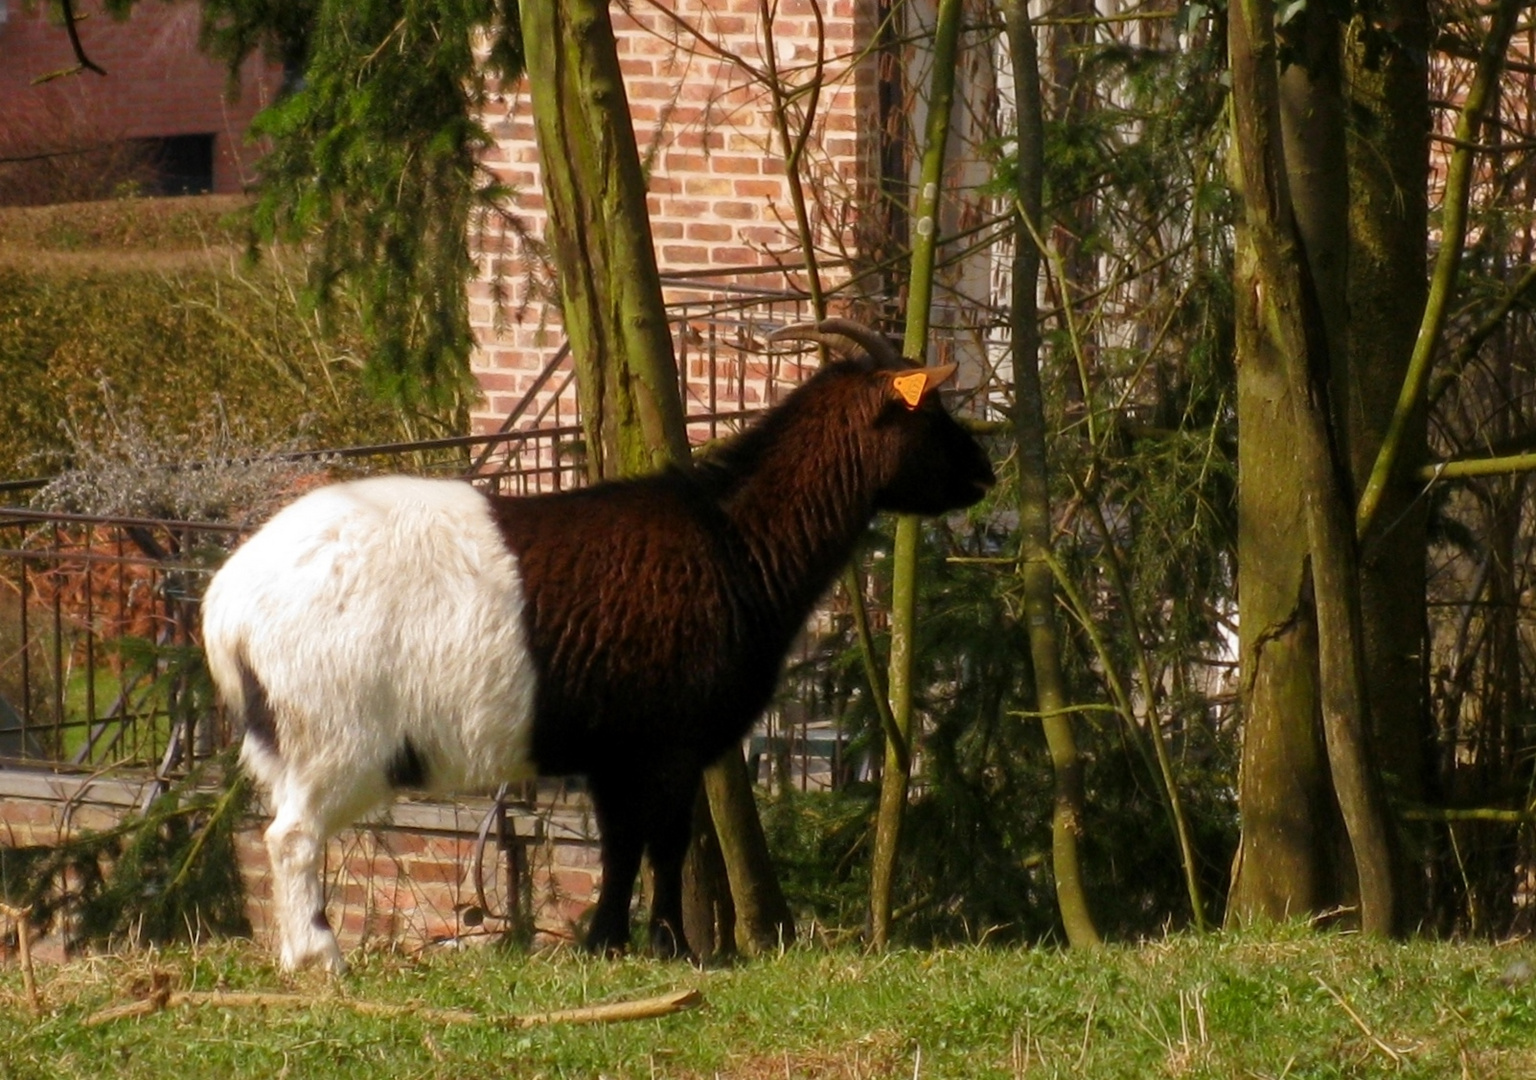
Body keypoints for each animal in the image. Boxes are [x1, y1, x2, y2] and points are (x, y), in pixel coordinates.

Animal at [201, 321, 995, 970]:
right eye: (931, 414)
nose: (985, 474)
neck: (734, 542)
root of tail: (225, 608)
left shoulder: (616, 752)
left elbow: (619, 847)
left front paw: (605, 942)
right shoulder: (672, 744)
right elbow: (664, 843)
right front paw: (676, 948)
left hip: (283, 741)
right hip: (335, 736)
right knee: (293, 836)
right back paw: (322, 958)